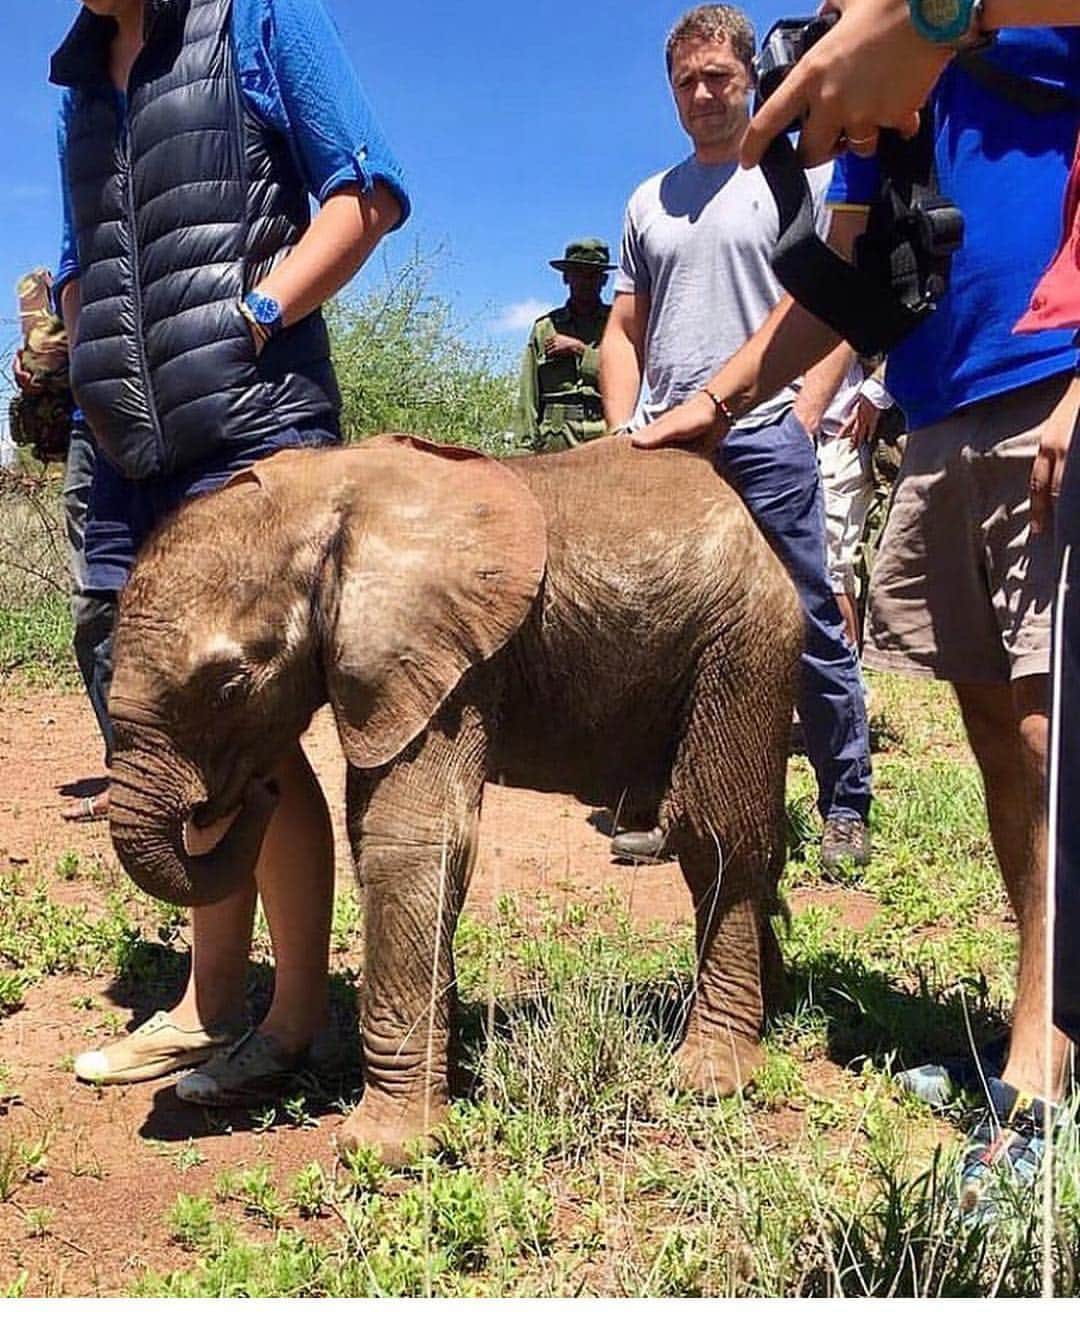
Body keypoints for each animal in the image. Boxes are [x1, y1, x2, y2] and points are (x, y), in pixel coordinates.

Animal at [106, 433, 802, 1163]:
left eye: (229, 686)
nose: (262, 785)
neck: (324, 500)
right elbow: (377, 834)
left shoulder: (442, 659)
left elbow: (407, 839)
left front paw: (383, 1151)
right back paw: (773, 1002)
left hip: (743, 638)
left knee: (713, 834)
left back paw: (712, 1074)